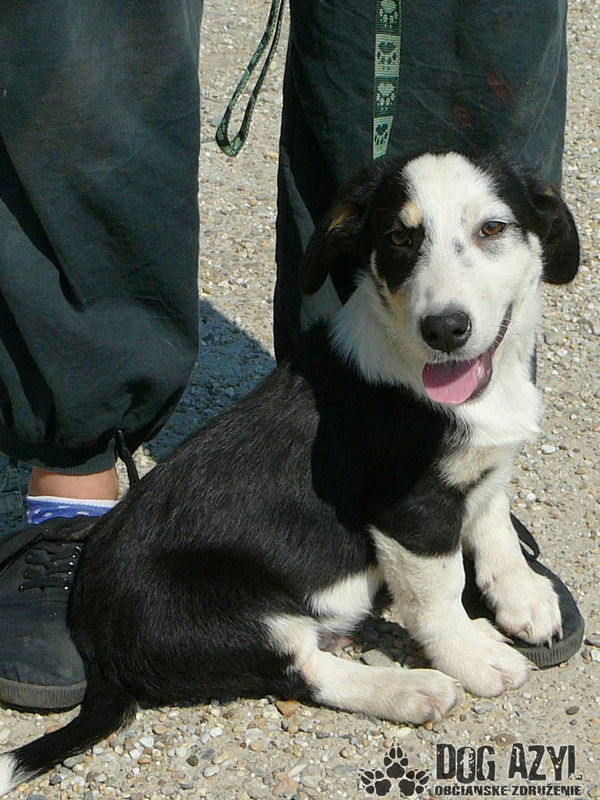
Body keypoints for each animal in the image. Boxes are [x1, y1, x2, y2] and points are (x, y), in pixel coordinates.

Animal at [0, 151, 579, 794]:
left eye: (493, 229)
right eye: (398, 238)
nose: (445, 329)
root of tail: (97, 643)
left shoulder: (478, 470)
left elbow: (493, 516)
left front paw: (524, 595)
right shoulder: (410, 510)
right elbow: (440, 592)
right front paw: (474, 659)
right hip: (212, 614)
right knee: (296, 670)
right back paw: (411, 689)